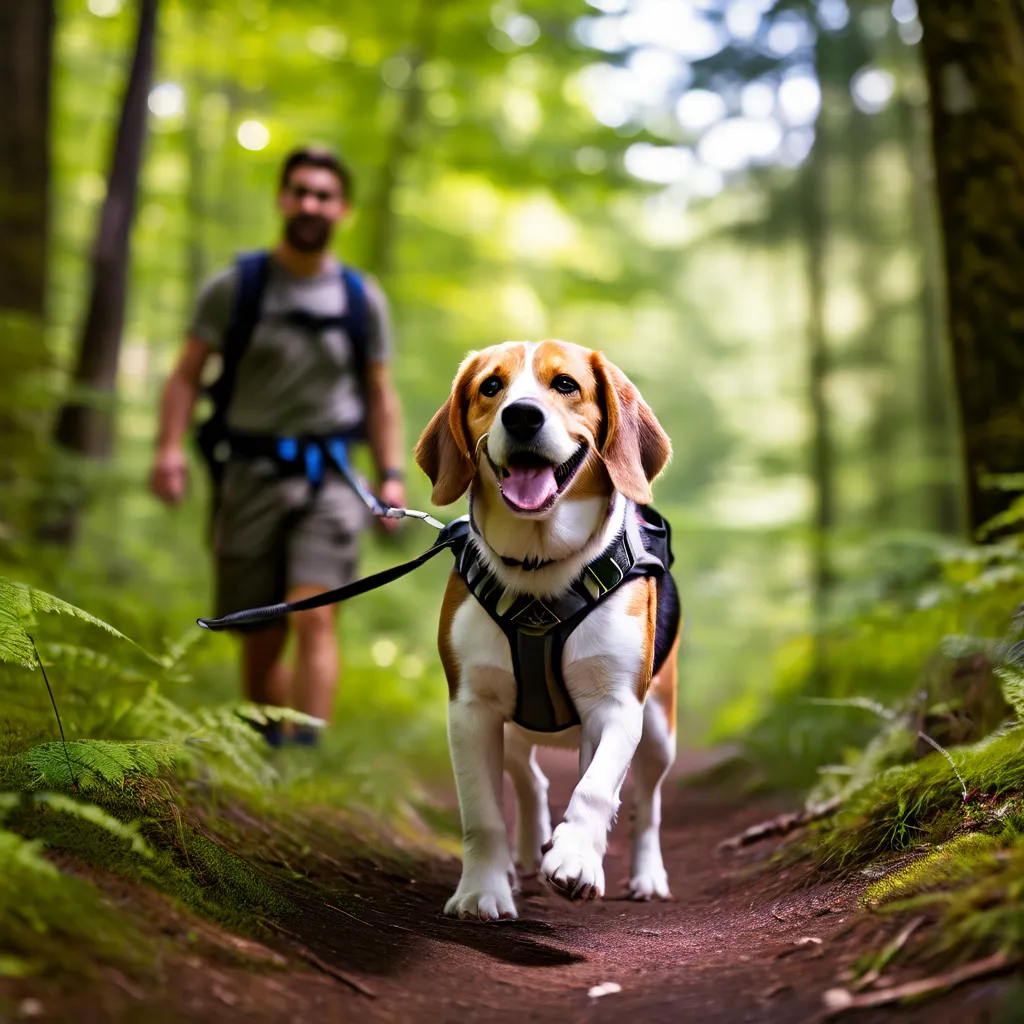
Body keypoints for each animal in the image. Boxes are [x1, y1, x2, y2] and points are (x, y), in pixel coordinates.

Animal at [411, 337, 675, 921]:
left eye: (565, 385)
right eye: (491, 386)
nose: (522, 415)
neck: (539, 568)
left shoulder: (617, 704)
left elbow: (595, 789)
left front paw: (576, 858)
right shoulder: (471, 708)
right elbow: (482, 813)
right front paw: (482, 890)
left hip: (659, 730)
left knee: (646, 804)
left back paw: (645, 875)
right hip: (511, 730)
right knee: (529, 779)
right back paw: (527, 854)